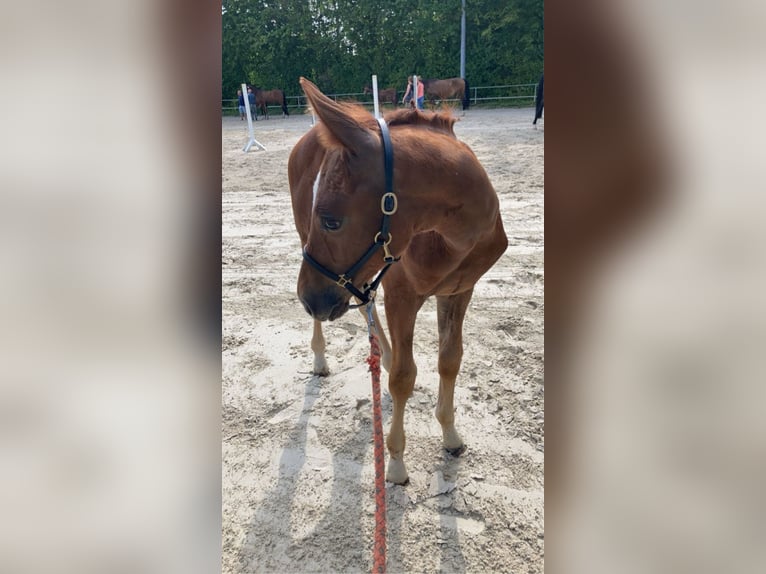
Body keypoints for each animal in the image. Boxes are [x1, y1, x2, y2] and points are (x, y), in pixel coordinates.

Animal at [288, 77, 507, 485]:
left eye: (331, 220)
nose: (308, 298)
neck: (454, 237)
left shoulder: (459, 291)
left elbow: (450, 360)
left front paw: (450, 434)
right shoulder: (402, 295)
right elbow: (405, 377)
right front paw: (396, 464)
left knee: (362, 303)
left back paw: (381, 355)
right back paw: (322, 357)